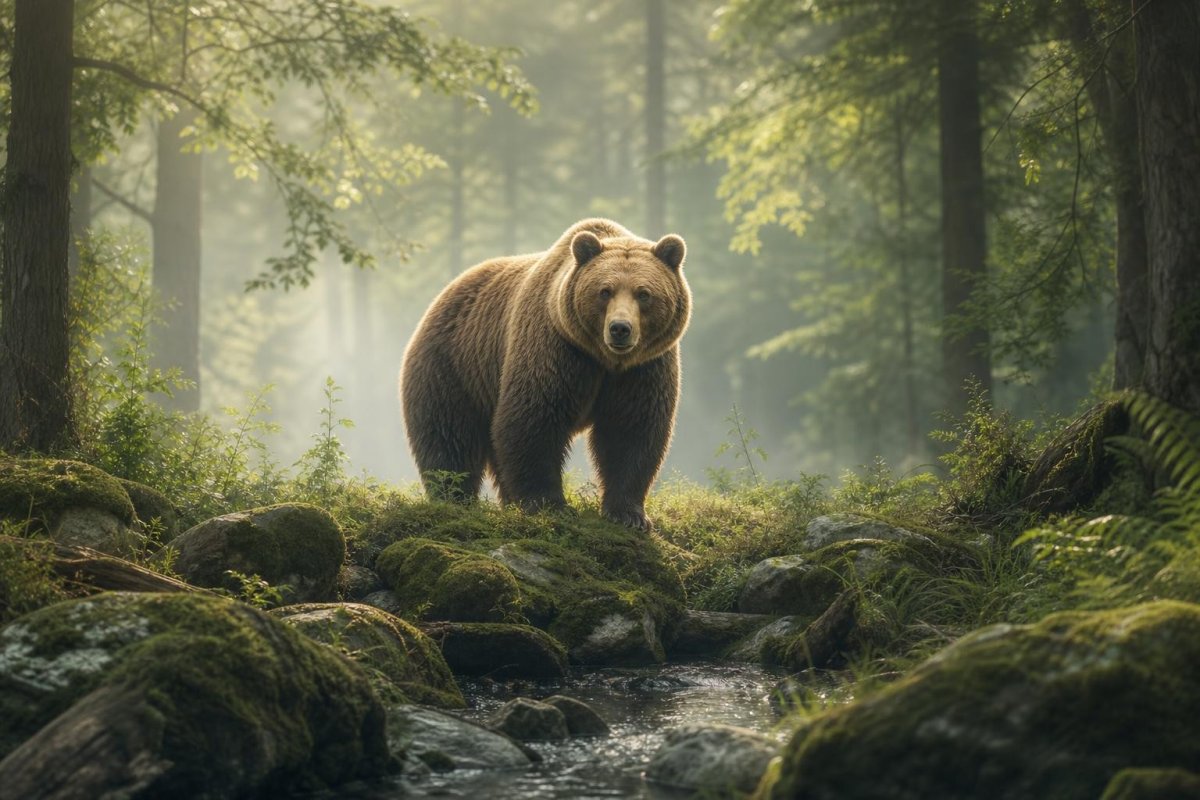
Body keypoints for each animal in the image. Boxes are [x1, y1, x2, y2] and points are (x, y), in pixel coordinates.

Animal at [399, 218, 691, 530]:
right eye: (605, 291)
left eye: (643, 293)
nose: (620, 328)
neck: (604, 359)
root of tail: (444, 292)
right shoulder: (557, 348)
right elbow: (534, 421)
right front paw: (550, 505)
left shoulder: (643, 368)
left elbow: (630, 430)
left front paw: (630, 515)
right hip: (454, 365)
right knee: (449, 437)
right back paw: (454, 498)